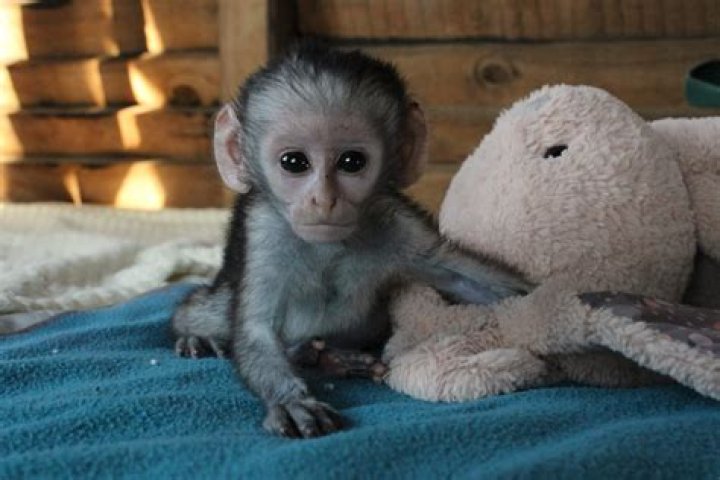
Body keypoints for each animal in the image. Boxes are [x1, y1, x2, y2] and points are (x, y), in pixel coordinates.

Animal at [172, 43, 531, 439]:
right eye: (293, 162)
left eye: (352, 161)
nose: (324, 200)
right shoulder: (263, 231)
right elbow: (256, 328)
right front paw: (291, 401)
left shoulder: (396, 221)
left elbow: (468, 279)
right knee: (204, 310)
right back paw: (202, 337)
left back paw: (328, 358)